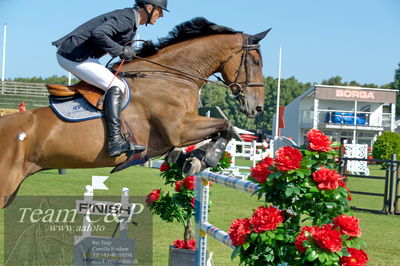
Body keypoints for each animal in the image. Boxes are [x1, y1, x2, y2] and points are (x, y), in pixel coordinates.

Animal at [0, 17, 270, 208]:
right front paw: (204, 160)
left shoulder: (174, 136)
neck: (171, 74)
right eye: (256, 62)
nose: (257, 107)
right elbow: (226, 126)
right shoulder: (180, 129)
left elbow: (214, 133)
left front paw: (192, 158)